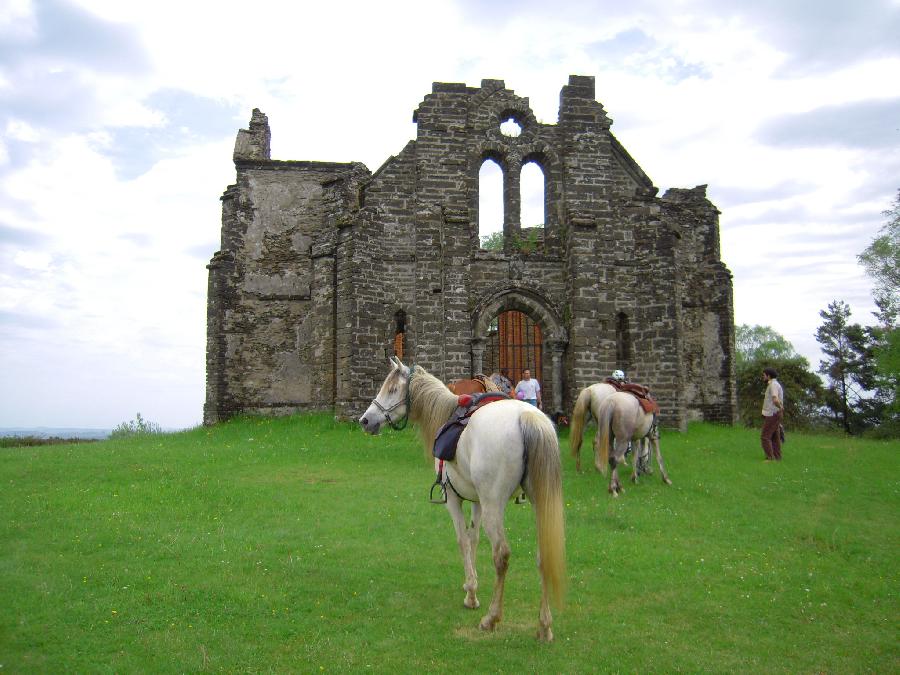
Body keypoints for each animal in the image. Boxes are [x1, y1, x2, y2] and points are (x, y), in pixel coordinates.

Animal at [356, 356, 564, 640]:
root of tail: (527, 417)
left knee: (501, 555)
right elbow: (473, 538)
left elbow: (462, 540)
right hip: (539, 502)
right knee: (544, 555)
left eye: (392, 389)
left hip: (494, 506)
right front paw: (471, 584)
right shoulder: (476, 501)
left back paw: (491, 618)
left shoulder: (453, 499)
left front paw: (471, 595)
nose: (365, 420)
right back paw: (544, 625)